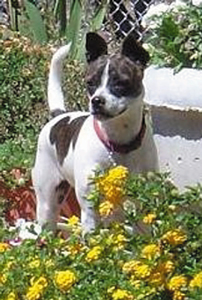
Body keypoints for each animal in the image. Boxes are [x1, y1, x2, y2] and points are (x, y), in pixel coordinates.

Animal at [31, 33, 159, 234]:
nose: (96, 100)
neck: (119, 142)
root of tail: (59, 115)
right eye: (90, 83)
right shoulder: (90, 209)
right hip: (48, 202)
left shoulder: (142, 205)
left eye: (120, 83)